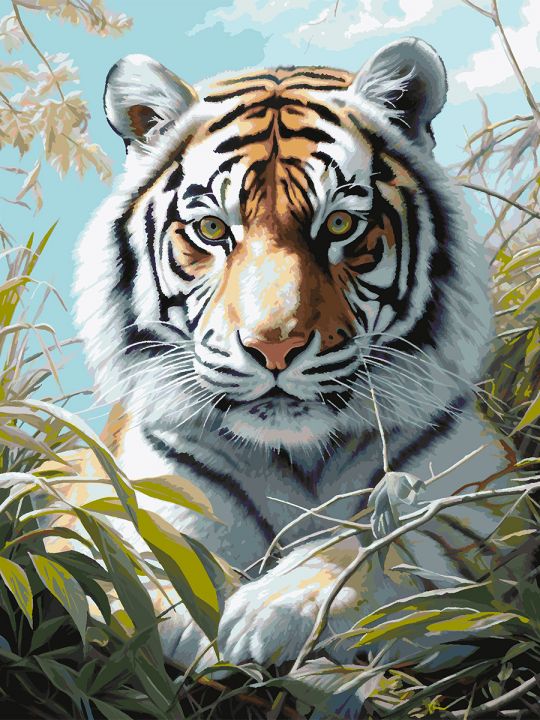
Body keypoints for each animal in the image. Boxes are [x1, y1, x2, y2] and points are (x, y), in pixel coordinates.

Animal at [57, 37, 522, 669]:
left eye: (341, 223)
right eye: (211, 229)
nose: (273, 346)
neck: (298, 457)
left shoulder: (490, 505)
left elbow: (395, 545)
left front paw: (275, 607)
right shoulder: (128, 491)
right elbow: (138, 547)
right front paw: (190, 610)